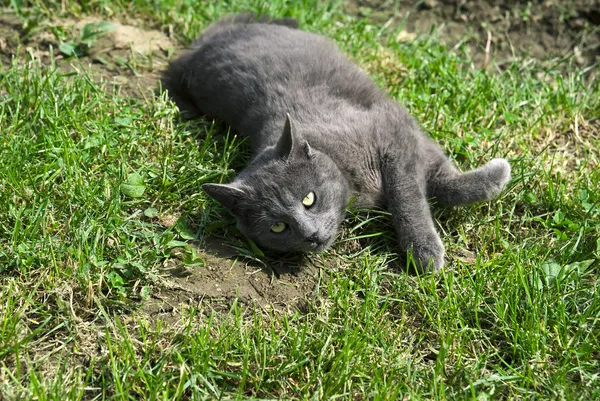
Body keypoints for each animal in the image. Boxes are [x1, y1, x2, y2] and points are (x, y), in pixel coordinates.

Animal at [164, 14, 510, 272]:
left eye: (309, 199)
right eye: (278, 228)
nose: (311, 235)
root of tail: (198, 48)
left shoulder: (392, 130)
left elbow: (409, 195)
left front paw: (425, 251)